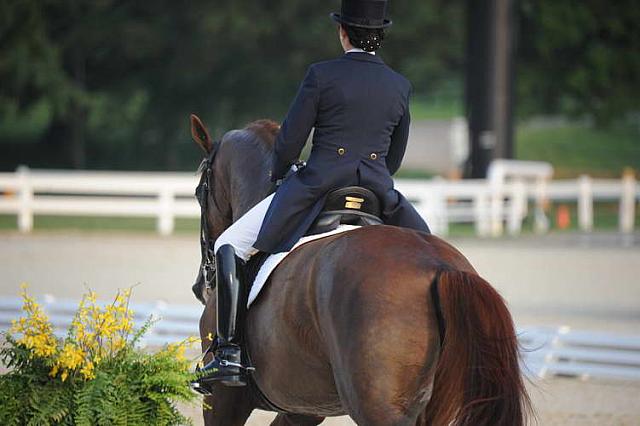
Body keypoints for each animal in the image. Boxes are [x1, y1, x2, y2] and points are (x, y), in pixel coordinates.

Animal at [190, 114, 528, 426]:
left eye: (198, 193)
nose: (198, 287)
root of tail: (440, 267)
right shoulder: (303, 408)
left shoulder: (224, 399)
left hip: (377, 406)